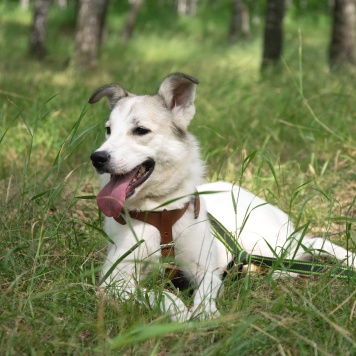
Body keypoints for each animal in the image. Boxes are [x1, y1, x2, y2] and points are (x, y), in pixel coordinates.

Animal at [89, 73, 356, 322]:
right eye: (108, 131)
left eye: (140, 131)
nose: (97, 158)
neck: (162, 214)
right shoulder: (114, 280)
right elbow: (160, 294)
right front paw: (179, 312)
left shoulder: (206, 268)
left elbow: (205, 291)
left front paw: (205, 313)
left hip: (269, 243)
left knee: (314, 243)